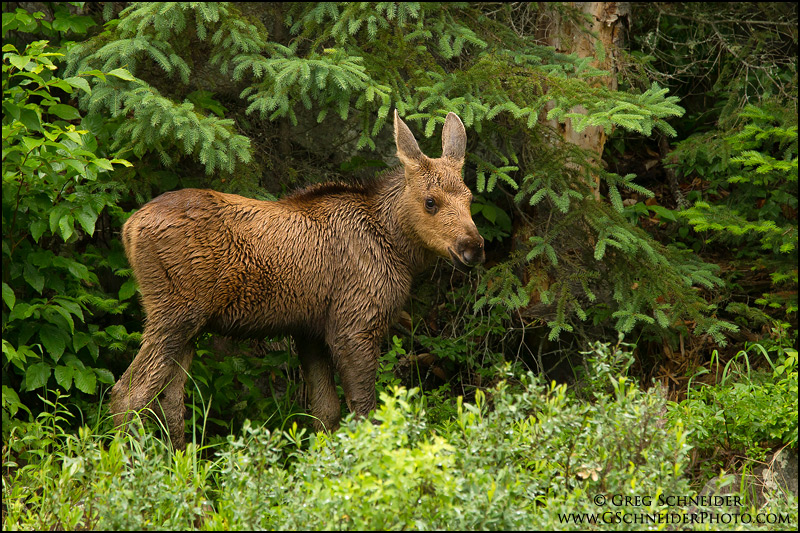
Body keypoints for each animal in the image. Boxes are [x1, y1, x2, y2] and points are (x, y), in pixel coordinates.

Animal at [111, 109, 488, 444]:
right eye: (430, 201)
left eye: (470, 198)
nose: (473, 247)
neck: (396, 246)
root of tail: (128, 229)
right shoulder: (354, 325)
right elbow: (363, 411)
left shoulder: (310, 331)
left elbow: (325, 412)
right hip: (174, 314)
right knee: (128, 394)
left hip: (189, 326)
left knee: (170, 401)